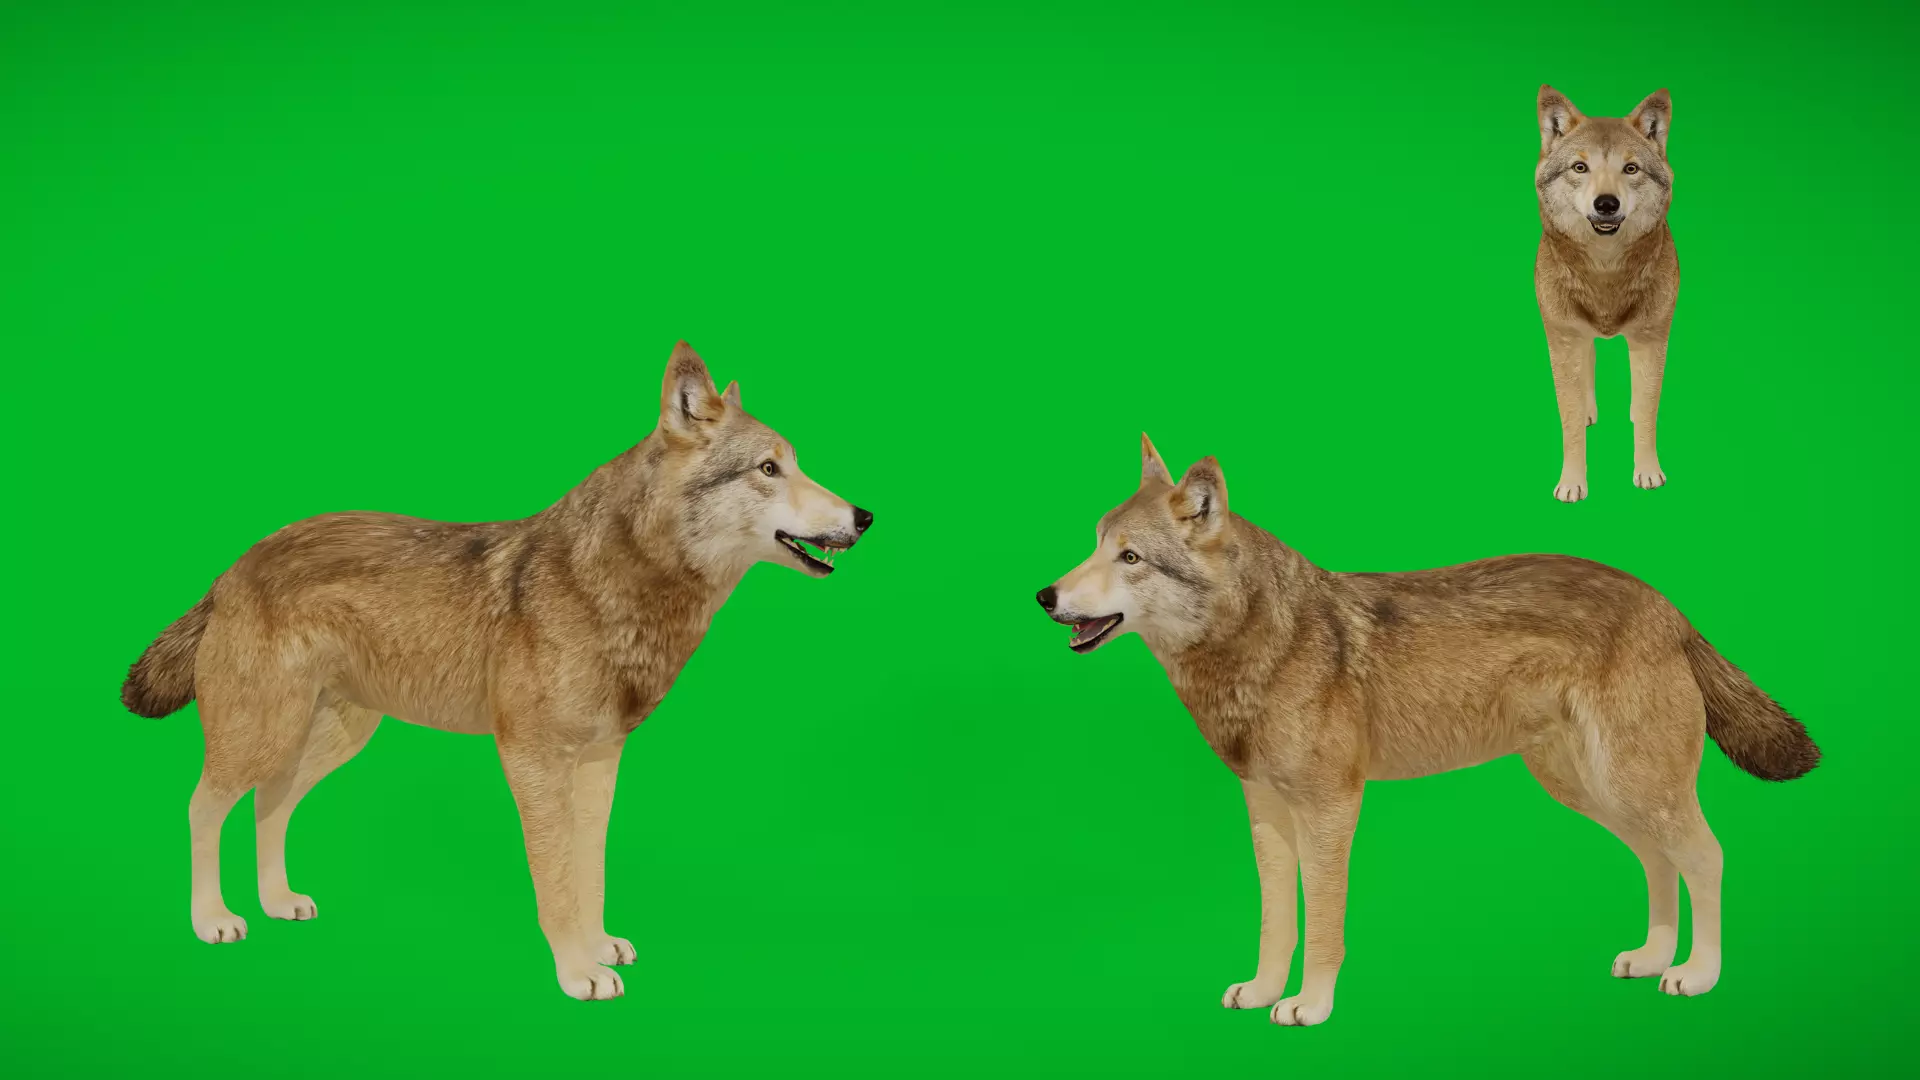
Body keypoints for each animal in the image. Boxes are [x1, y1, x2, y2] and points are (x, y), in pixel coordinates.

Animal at [121, 341, 873, 1001]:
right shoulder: (531, 759)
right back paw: (213, 919)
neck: (620, 587)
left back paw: (277, 901)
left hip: (325, 740)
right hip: (263, 734)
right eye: (769, 469)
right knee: (202, 807)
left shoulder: (600, 762)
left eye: (797, 464)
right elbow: (556, 879)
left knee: (268, 806)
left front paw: (597, 946)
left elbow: (590, 869)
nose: (864, 516)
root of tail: (231, 568)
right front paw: (578, 973)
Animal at [1035, 435, 1818, 1026]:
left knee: (1706, 857)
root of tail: (1668, 605)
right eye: (1094, 545)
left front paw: (1309, 1005)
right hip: (1596, 791)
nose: (1044, 595)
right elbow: (1276, 922)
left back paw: (1697, 973)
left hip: (1632, 785)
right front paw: (1261, 992)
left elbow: (1322, 923)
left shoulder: (1330, 809)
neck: (1258, 647)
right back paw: (1653, 958)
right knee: (1660, 860)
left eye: (1130, 558)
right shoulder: (1266, 813)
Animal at [1535, 85, 1679, 502]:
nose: (1606, 204)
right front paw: (1571, 483)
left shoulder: (1651, 339)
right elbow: (1568, 421)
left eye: (1630, 169)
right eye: (1579, 168)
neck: (1605, 273)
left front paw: (1648, 473)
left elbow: (1647, 412)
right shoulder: (1564, 339)